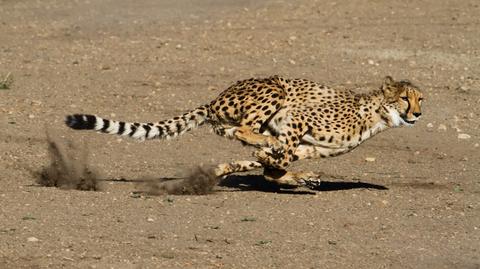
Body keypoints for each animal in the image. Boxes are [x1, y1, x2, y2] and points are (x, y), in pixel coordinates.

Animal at [65, 74, 422, 187]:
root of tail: (214, 100)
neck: (377, 114)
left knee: (244, 136)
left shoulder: (310, 146)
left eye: (422, 99)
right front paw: (277, 165)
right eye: (406, 98)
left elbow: (269, 162)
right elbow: (274, 158)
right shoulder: (296, 119)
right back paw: (265, 142)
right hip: (274, 89)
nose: (418, 114)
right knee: (246, 130)